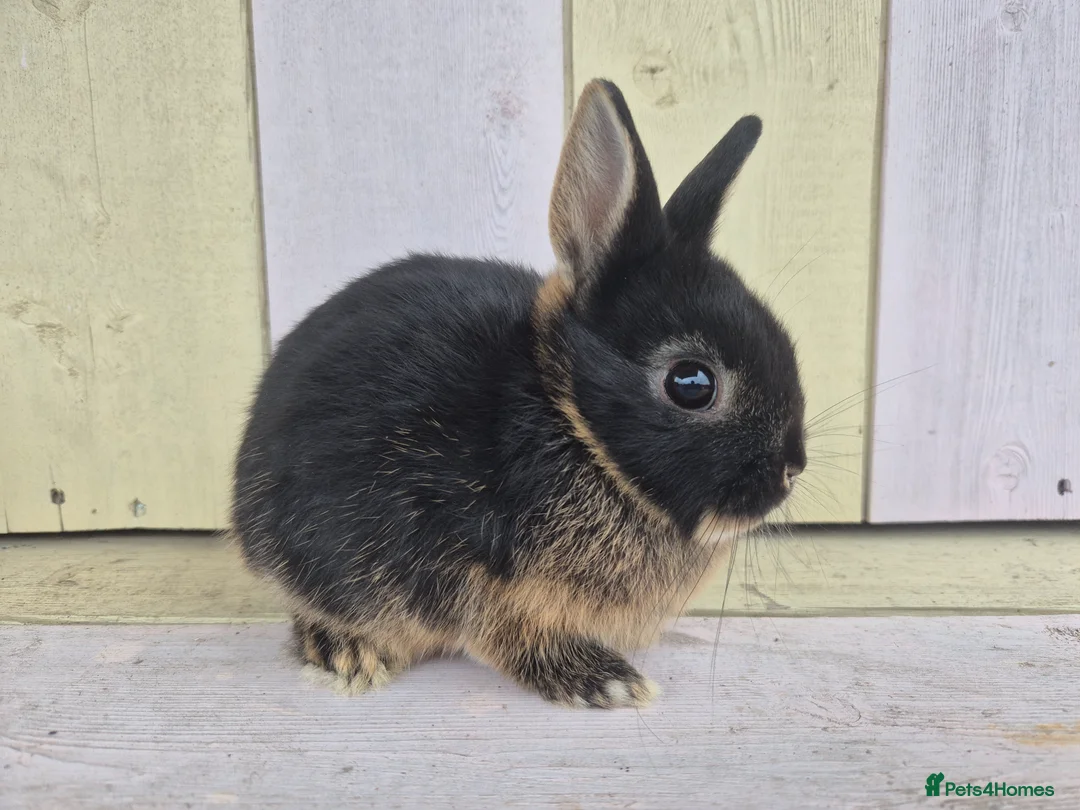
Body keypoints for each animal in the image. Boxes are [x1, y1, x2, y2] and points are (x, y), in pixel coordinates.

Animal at [231, 78, 806, 709]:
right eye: (692, 384)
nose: (792, 468)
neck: (571, 420)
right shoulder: (483, 580)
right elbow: (509, 637)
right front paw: (607, 682)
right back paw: (349, 653)